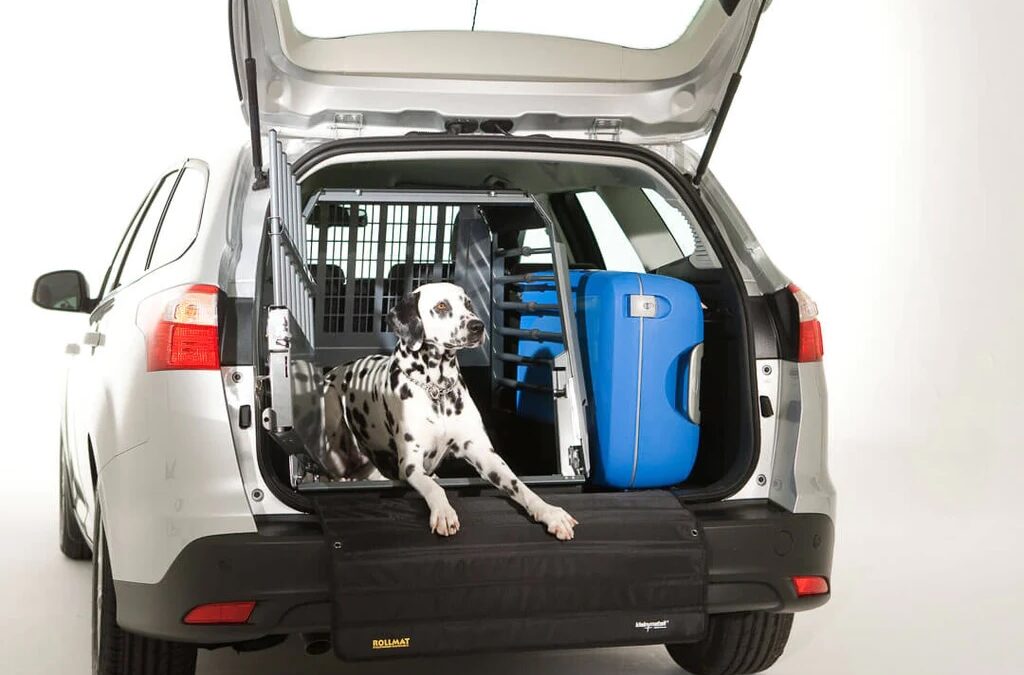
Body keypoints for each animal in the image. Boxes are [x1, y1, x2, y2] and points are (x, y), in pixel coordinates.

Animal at [321, 282, 577, 540]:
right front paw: (443, 512)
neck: (437, 389)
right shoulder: (411, 465)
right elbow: (434, 488)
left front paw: (549, 512)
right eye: (441, 306)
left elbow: (519, 485)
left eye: (468, 303)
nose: (477, 326)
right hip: (330, 405)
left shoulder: (485, 455)